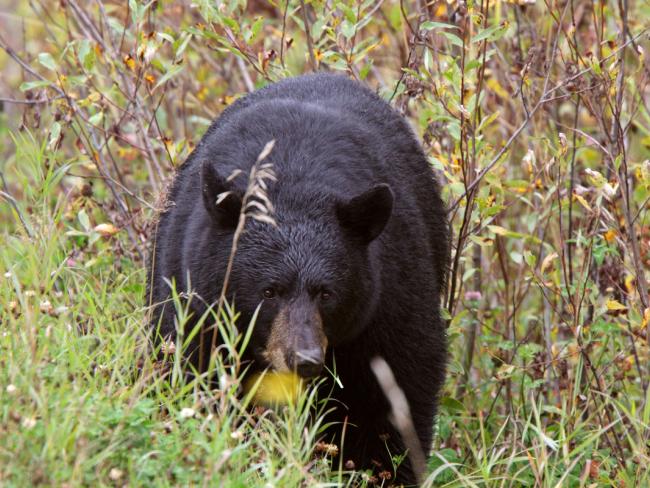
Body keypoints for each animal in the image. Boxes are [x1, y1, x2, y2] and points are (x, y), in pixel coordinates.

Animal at [149, 73, 448, 484]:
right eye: (269, 291)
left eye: (326, 293)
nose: (304, 358)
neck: (293, 184)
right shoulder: (194, 301)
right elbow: (193, 373)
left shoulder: (391, 293)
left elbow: (396, 393)